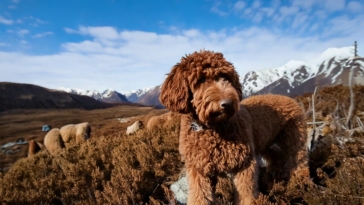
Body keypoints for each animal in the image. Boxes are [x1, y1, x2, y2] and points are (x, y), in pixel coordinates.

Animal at [159, 50, 308, 204]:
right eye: (201, 80)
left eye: (225, 77)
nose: (227, 103)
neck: (213, 129)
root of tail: (290, 99)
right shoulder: (199, 170)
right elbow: (199, 197)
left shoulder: (244, 164)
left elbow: (246, 196)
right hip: (265, 142)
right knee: (275, 156)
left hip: (294, 140)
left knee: (299, 162)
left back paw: (301, 184)